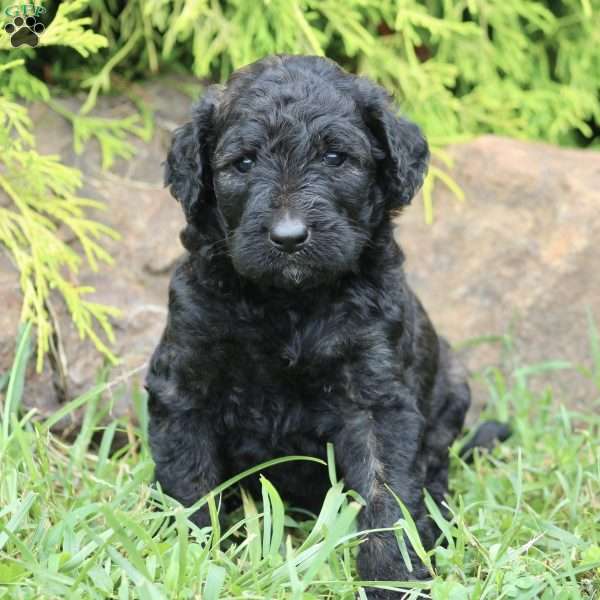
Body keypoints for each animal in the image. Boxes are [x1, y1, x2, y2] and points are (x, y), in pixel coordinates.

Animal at [149, 55, 478, 596]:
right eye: (244, 163)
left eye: (335, 158)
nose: (289, 237)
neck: (290, 303)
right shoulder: (184, 377)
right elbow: (188, 478)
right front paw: (188, 557)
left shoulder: (376, 394)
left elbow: (387, 490)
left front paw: (394, 576)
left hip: (452, 384)